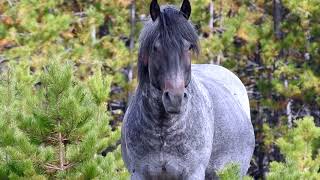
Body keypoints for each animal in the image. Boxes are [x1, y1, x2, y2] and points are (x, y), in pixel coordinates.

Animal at [121, 0, 256, 179]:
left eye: (188, 47)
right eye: (155, 47)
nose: (175, 98)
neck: (164, 129)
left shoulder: (193, 173)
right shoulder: (140, 174)